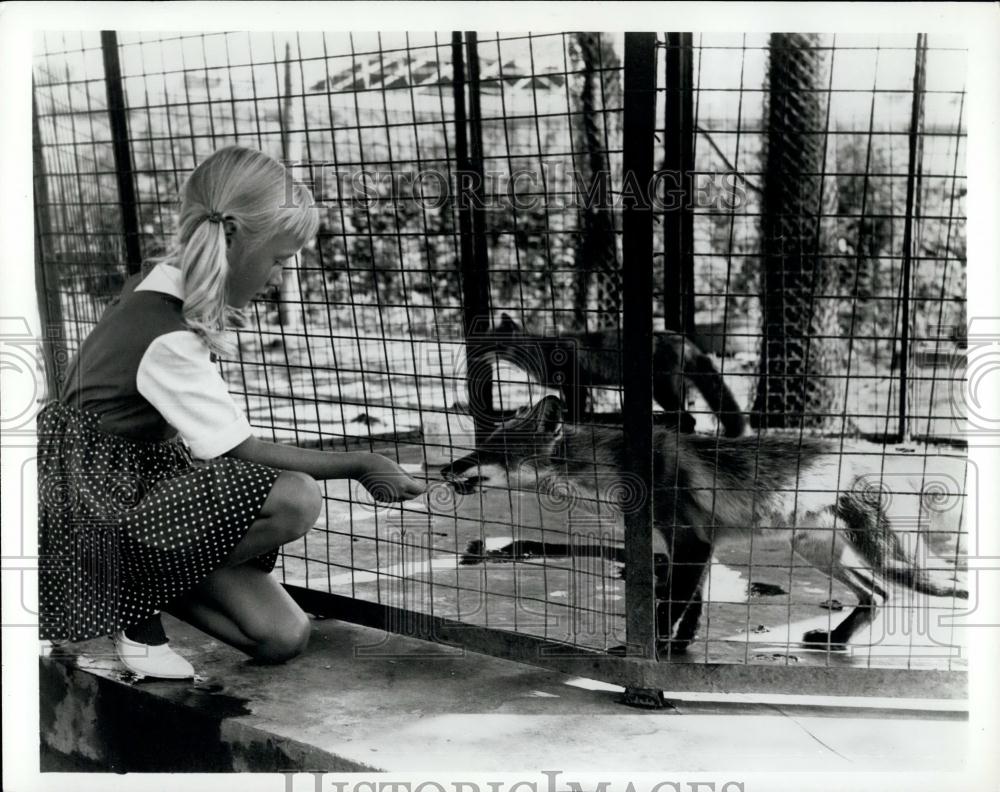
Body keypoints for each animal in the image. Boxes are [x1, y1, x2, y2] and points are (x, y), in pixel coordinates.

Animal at [440, 396, 968, 656]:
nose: (444, 469)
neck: (622, 465)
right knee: (877, 594)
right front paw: (678, 650)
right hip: (818, 554)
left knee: (936, 583)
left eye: (488, 451)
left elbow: (667, 606)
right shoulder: (687, 547)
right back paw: (835, 641)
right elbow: (689, 607)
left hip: (890, 555)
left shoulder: (691, 543)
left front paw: (646, 652)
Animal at [480, 312, 748, 436]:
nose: (474, 351)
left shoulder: (575, 382)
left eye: (491, 342)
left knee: (688, 419)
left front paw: (571, 422)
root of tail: (680, 338)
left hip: (661, 390)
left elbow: (576, 411)